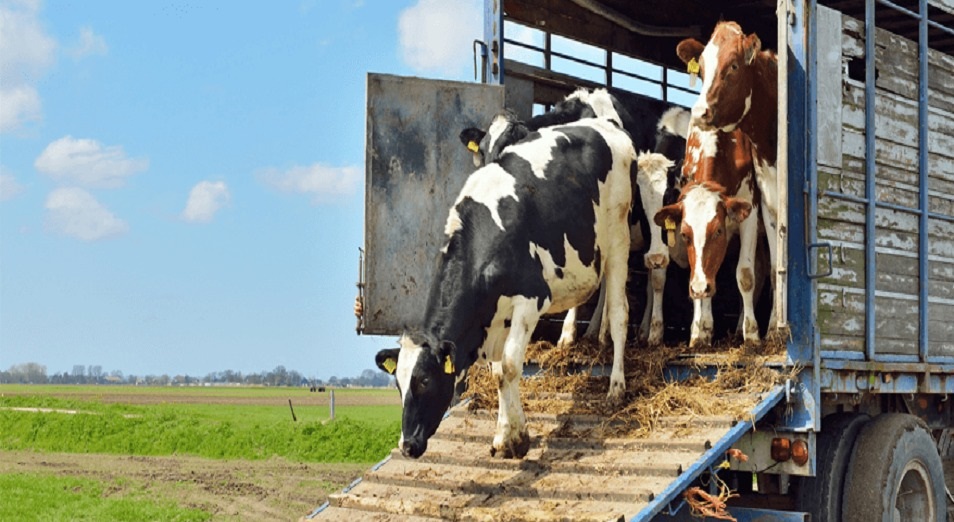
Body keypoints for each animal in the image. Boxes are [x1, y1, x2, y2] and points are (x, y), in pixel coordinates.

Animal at [376, 112, 636, 456]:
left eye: (425, 381)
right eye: (398, 384)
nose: (407, 445)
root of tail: (605, 123)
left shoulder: (531, 299)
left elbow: (511, 366)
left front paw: (519, 438)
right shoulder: (495, 316)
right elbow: (499, 371)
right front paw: (503, 435)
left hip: (619, 234)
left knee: (620, 313)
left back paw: (616, 387)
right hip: (597, 250)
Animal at [672, 22, 776, 332]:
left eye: (733, 65)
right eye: (702, 70)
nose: (700, 112)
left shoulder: (750, 208)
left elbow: (745, 273)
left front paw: (752, 333)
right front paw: (700, 328)